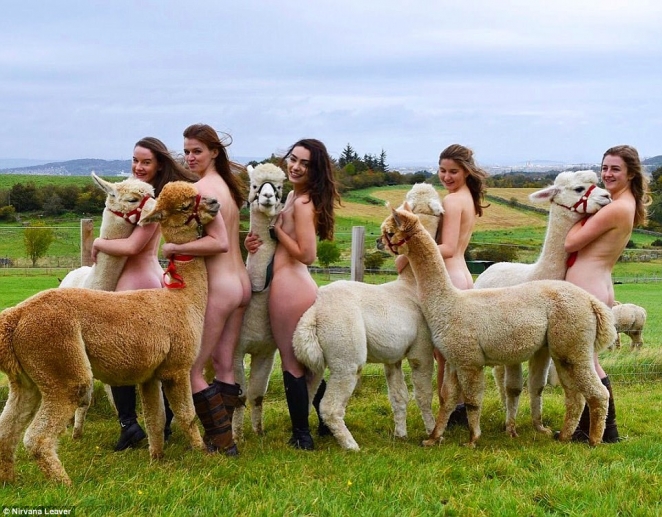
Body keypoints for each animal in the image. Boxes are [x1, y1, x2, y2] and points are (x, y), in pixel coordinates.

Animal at [0, 181, 216, 485]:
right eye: (186, 206)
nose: (214, 203)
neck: (183, 299)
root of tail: (16, 315)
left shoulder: (149, 374)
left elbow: (156, 419)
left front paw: (157, 459)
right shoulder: (177, 366)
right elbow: (187, 414)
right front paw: (202, 453)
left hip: (27, 378)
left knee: (7, 428)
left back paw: (10, 480)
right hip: (62, 364)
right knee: (37, 437)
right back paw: (65, 485)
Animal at [292, 183, 442, 451]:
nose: (380, 242)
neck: (411, 286)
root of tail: (315, 311)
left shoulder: (393, 356)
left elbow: (399, 396)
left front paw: (400, 434)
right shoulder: (421, 349)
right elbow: (424, 395)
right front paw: (432, 432)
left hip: (316, 359)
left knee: (307, 394)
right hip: (346, 353)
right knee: (329, 406)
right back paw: (351, 446)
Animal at [380, 204, 616, 448]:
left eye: (389, 232)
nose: (379, 242)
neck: (449, 302)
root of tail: (591, 302)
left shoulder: (469, 360)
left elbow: (472, 400)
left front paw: (472, 439)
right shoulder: (455, 358)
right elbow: (447, 399)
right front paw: (433, 438)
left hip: (573, 342)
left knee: (598, 393)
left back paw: (594, 441)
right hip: (564, 348)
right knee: (574, 395)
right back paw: (563, 436)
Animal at [473, 170, 611, 434]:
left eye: (597, 183)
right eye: (579, 189)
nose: (608, 196)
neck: (536, 276)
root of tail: (493, 266)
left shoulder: (544, 348)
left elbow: (537, 385)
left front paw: (539, 426)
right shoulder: (513, 342)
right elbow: (514, 387)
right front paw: (511, 428)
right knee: (499, 375)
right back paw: (503, 410)